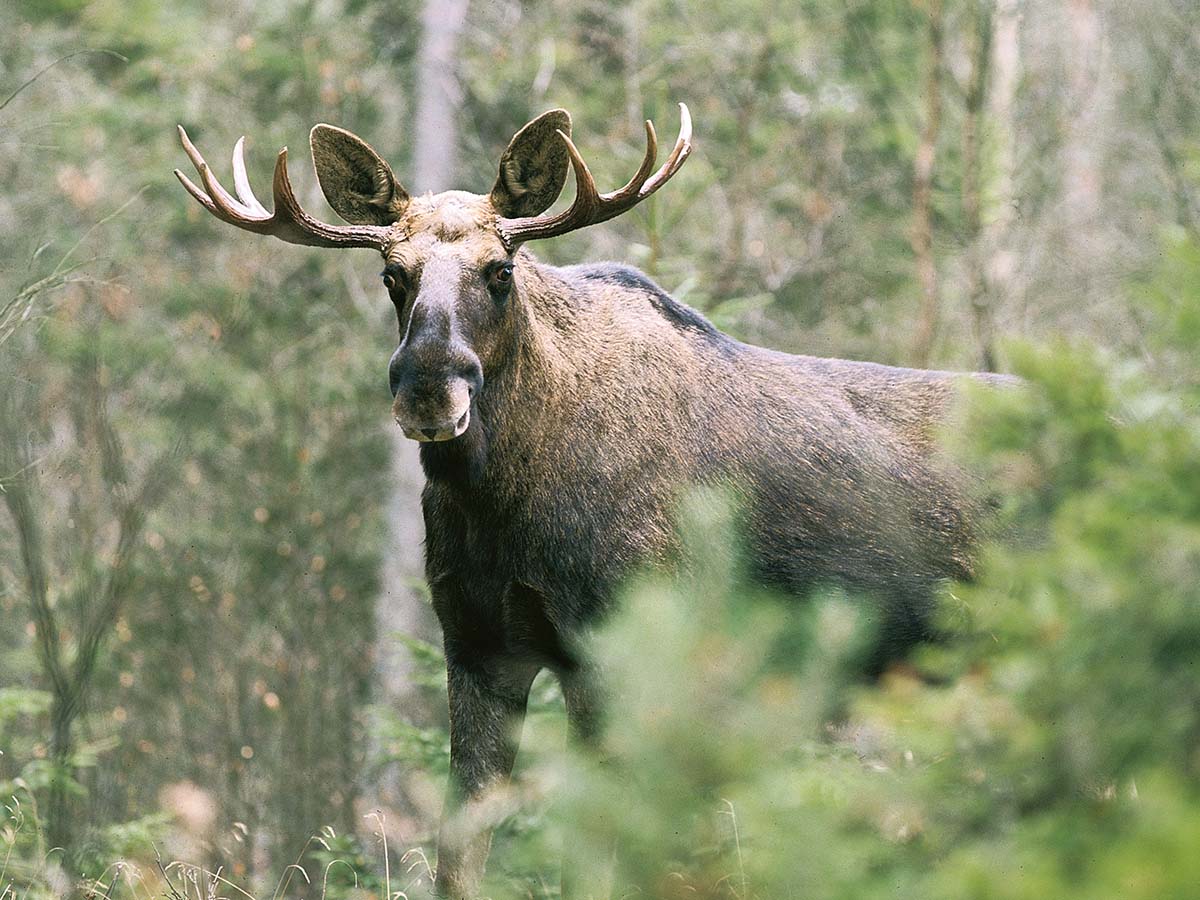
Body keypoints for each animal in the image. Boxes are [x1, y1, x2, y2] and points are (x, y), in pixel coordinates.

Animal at [174, 107, 1008, 900]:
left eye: (500, 269)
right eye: (392, 274)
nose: (429, 386)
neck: (504, 509)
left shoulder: (616, 649)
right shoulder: (477, 646)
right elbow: (460, 856)